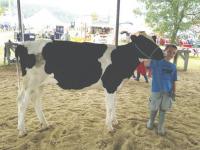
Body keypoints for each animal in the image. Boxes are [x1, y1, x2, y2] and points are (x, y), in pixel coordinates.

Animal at [14, 34, 163, 137]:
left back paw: (44, 124)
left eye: (154, 40)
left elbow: (115, 105)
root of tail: (23, 44)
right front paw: (109, 127)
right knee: (22, 102)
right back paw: (22, 130)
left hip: (39, 84)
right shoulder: (110, 85)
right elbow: (110, 107)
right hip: (29, 83)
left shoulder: (115, 87)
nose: (162, 54)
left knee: (36, 100)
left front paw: (114, 121)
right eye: (145, 43)